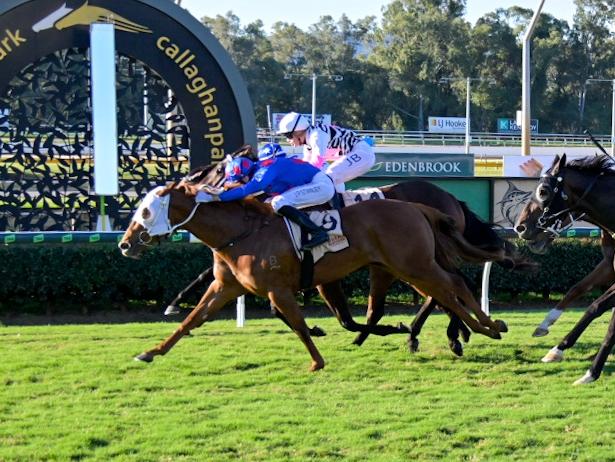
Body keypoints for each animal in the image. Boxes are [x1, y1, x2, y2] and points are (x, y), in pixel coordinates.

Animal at [120, 184, 510, 372]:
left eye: (146, 211)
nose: (125, 244)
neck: (242, 232)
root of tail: (418, 206)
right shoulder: (226, 286)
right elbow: (191, 320)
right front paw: (151, 351)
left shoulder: (279, 288)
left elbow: (298, 324)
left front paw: (316, 361)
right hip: (403, 266)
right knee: (446, 289)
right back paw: (469, 330)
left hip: (412, 264)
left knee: (451, 286)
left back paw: (485, 327)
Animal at [516, 153, 615, 384]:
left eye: (543, 191)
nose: (520, 227)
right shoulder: (609, 264)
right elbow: (586, 298)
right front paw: (554, 345)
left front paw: (591, 373)